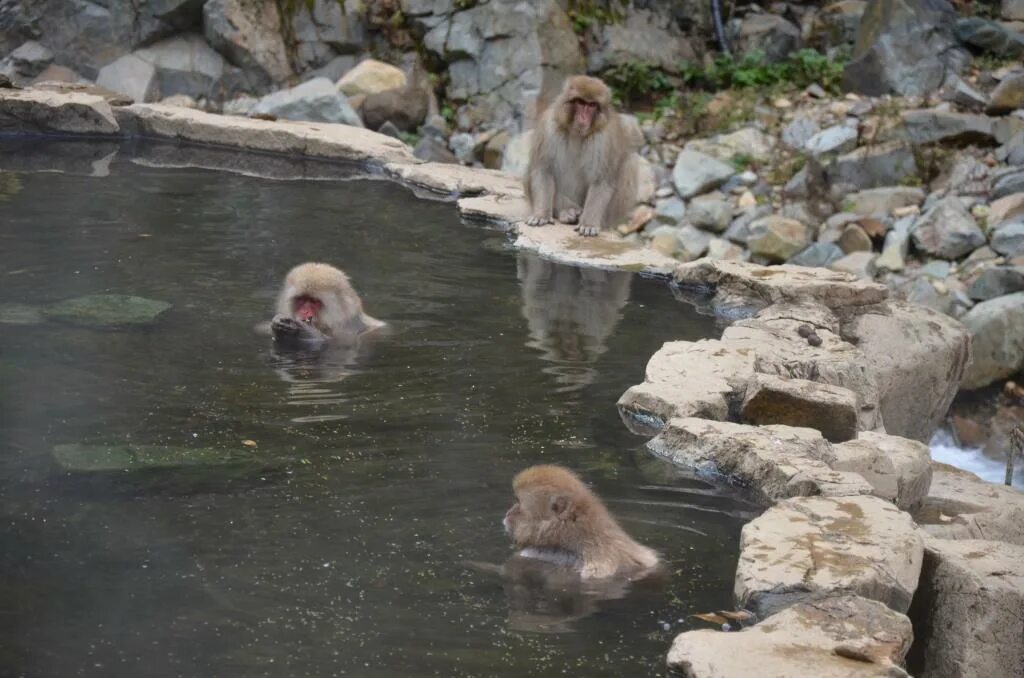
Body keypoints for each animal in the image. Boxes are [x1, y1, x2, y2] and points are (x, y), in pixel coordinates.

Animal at [524, 74, 634, 237]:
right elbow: (543, 170)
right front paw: (541, 214)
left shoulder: (604, 139)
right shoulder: (549, 126)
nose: (583, 117)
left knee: (629, 164)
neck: (577, 134)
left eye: (592, 105)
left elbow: (601, 180)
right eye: (581, 102)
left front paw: (588, 224)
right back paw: (566, 212)